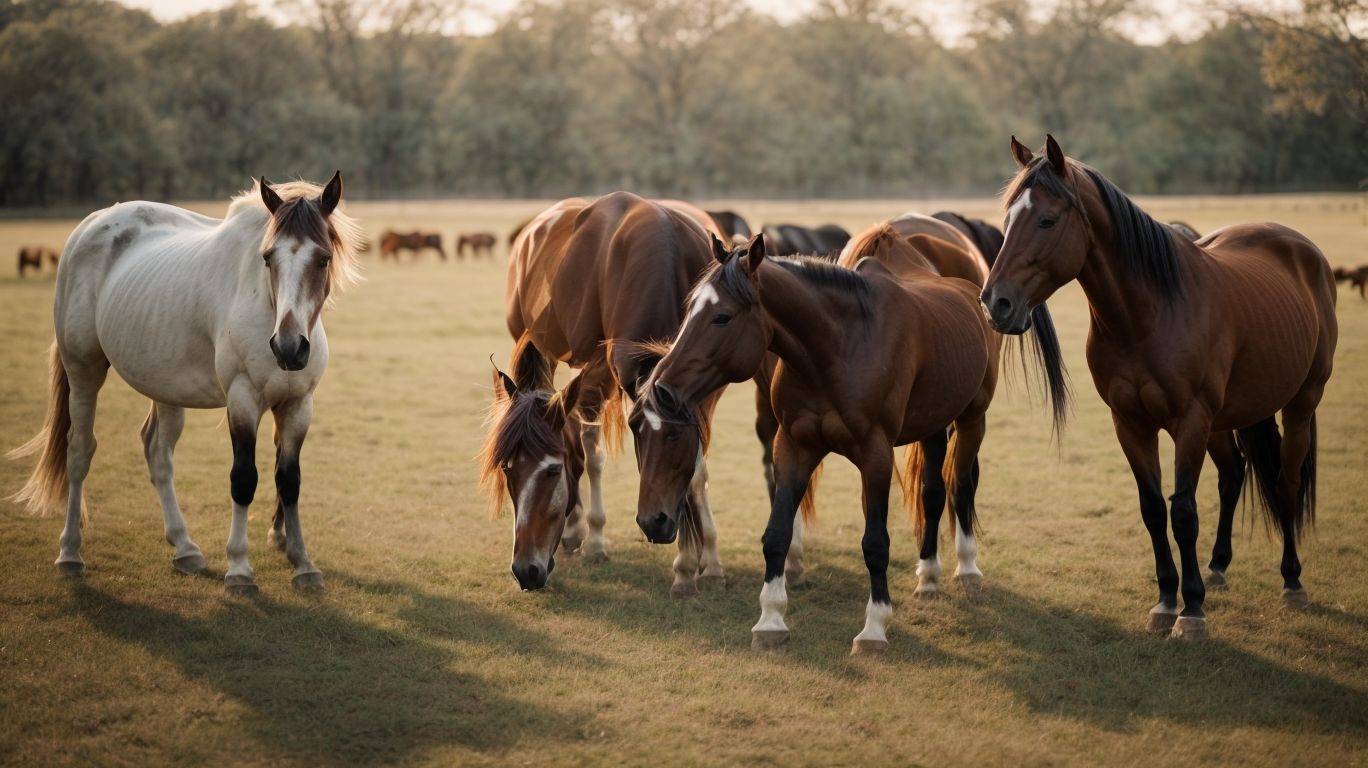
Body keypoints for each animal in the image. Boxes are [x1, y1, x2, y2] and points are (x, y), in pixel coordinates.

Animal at [7, 173, 363, 594]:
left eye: (323, 258)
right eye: (267, 258)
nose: (289, 348)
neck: (267, 309)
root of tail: (91, 224)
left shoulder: (298, 405)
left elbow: (288, 480)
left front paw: (304, 565)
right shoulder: (242, 400)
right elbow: (244, 479)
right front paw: (239, 569)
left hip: (164, 386)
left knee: (158, 454)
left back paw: (184, 547)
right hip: (84, 372)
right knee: (78, 451)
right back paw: (70, 554)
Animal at [480, 191, 726, 596]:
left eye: (552, 472)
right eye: (506, 470)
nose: (525, 571)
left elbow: (698, 470)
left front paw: (701, 561)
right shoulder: (600, 367)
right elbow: (589, 453)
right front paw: (595, 537)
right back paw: (579, 532)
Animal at [634, 226, 1068, 654]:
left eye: (722, 317)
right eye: (691, 309)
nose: (663, 389)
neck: (838, 349)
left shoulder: (875, 456)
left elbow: (875, 544)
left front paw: (874, 628)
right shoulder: (793, 447)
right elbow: (776, 534)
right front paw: (770, 621)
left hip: (972, 419)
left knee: (960, 487)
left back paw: (968, 569)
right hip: (932, 425)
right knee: (932, 492)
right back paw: (928, 576)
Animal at [981, 135, 1336, 639]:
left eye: (1047, 220)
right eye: (1008, 219)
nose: (996, 303)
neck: (1147, 314)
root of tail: (1302, 249)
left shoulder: (1189, 421)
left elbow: (1183, 512)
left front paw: (1192, 611)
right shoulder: (1130, 423)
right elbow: (1152, 509)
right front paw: (1168, 600)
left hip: (1300, 404)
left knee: (1286, 482)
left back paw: (1291, 580)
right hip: (1225, 420)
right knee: (1234, 473)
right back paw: (1218, 567)